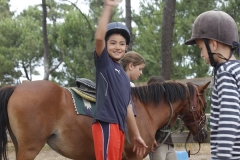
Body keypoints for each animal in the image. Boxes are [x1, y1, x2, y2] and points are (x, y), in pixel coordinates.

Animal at [0, 79, 210, 159]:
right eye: (204, 105)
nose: (204, 134)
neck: (145, 109)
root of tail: (16, 87)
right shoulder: (133, 156)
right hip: (29, 148)